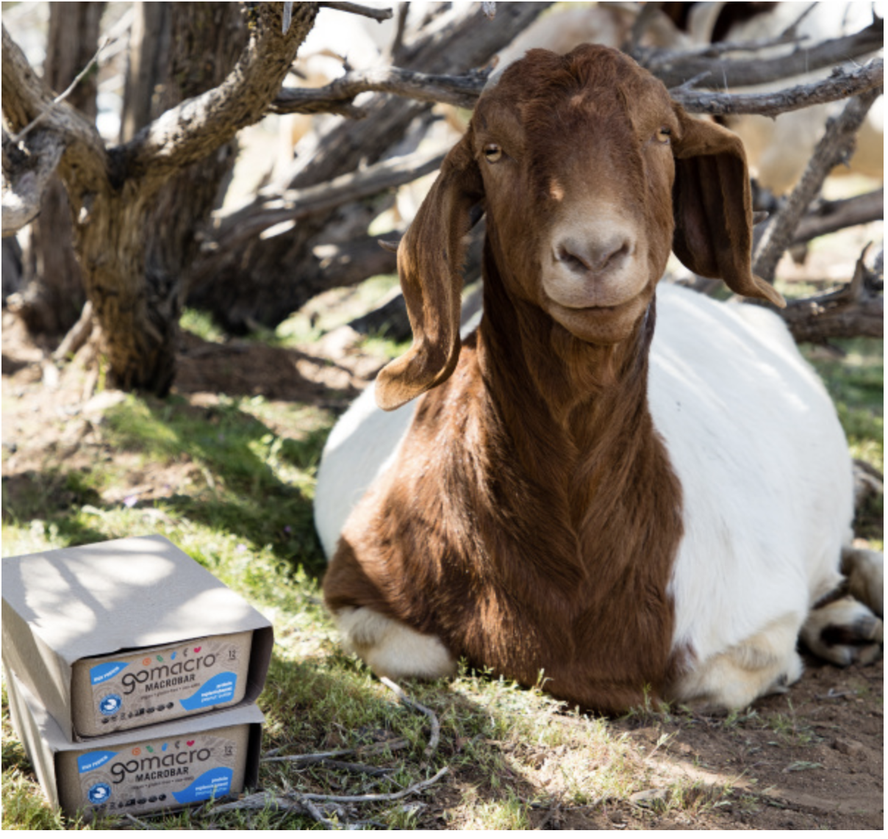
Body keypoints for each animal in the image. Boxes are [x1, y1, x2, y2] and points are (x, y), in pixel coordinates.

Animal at [314, 44, 880, 716]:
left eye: (662, 134)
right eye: (493, 150)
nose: (595, 254)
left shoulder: (754, 619)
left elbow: (723, 678)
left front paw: (797, 654)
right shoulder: (359, 578)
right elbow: (405, 649)